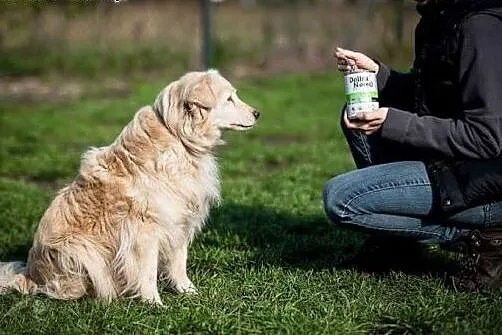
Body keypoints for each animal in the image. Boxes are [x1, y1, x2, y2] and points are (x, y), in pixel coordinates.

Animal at [0, 69, 258, 306]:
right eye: (229, 99)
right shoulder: (143, 229)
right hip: (80, 250)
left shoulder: (179, 220)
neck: (178, 138)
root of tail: (30, 276)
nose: (258, 113)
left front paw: (188, 292)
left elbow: (179, 262)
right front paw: (153, 303)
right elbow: (147, 270)